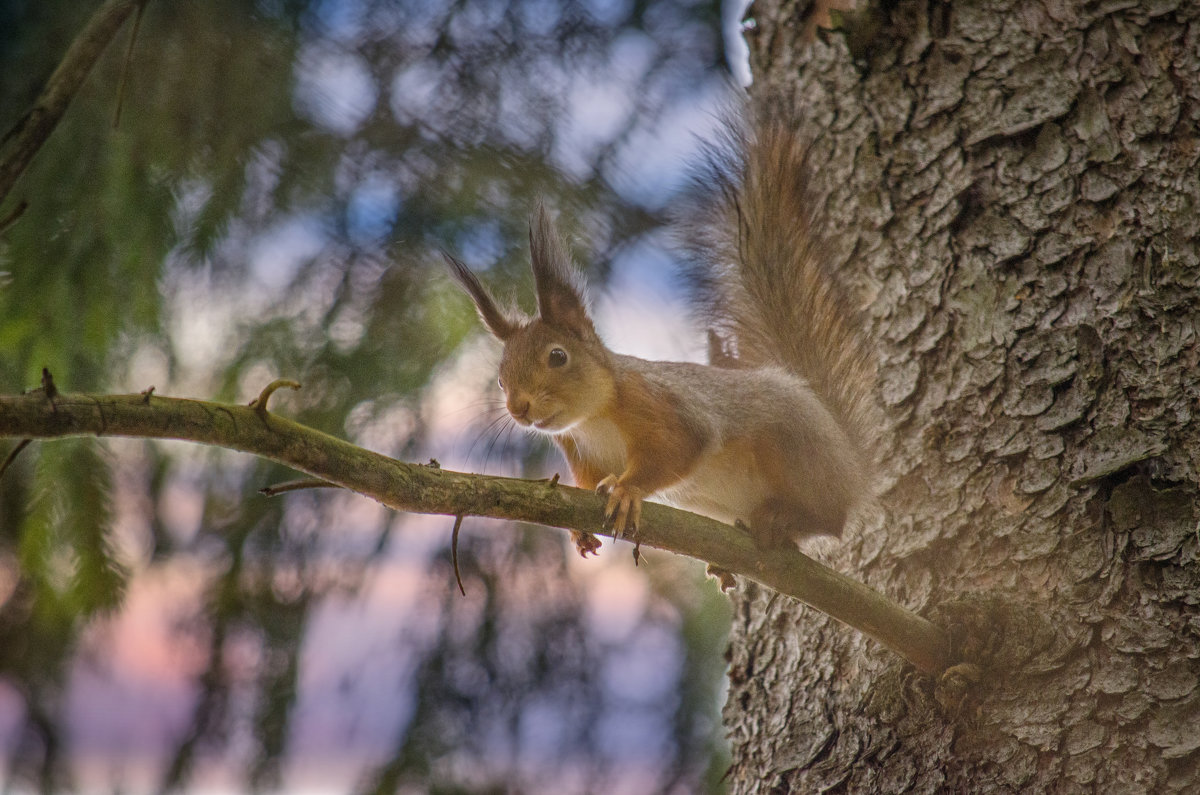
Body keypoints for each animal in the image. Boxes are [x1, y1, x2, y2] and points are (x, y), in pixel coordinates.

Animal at [446, 112, 878, 564]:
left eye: (558, 356)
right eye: (500, 379)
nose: (518, 408)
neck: (595, 416)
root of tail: (853, 468)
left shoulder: (661, 406)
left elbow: (680, 447)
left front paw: (627, 490)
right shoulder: (580, 452)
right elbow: (584, 486)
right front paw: (576, 530)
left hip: (792, 448)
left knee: (831, 519)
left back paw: (784, 519)